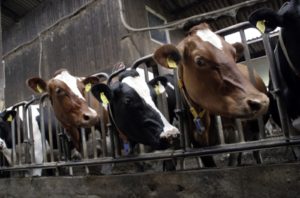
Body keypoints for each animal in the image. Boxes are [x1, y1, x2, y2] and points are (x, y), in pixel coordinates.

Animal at [152, 22, 270, 166]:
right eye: (200, 61)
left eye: (234, 55)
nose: (260, 101)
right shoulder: (198, 144)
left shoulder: (234, 134)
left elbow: (234, 159)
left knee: (255, 151)